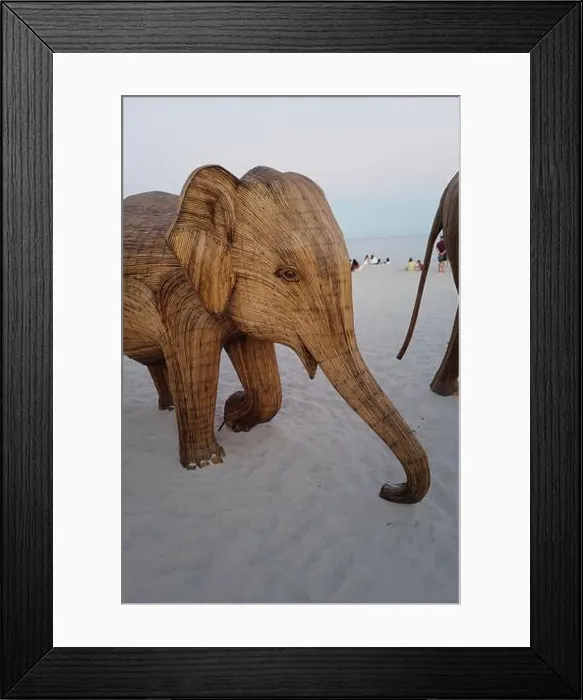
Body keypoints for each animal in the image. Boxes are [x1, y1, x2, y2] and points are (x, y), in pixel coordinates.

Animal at [123, 164, 431, 504]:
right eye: (289, 274)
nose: (389, 488)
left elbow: (267, 383)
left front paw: (235, 415)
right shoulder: (182, 299)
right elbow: (195, 369)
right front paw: (206, 462)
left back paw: (169, 407)